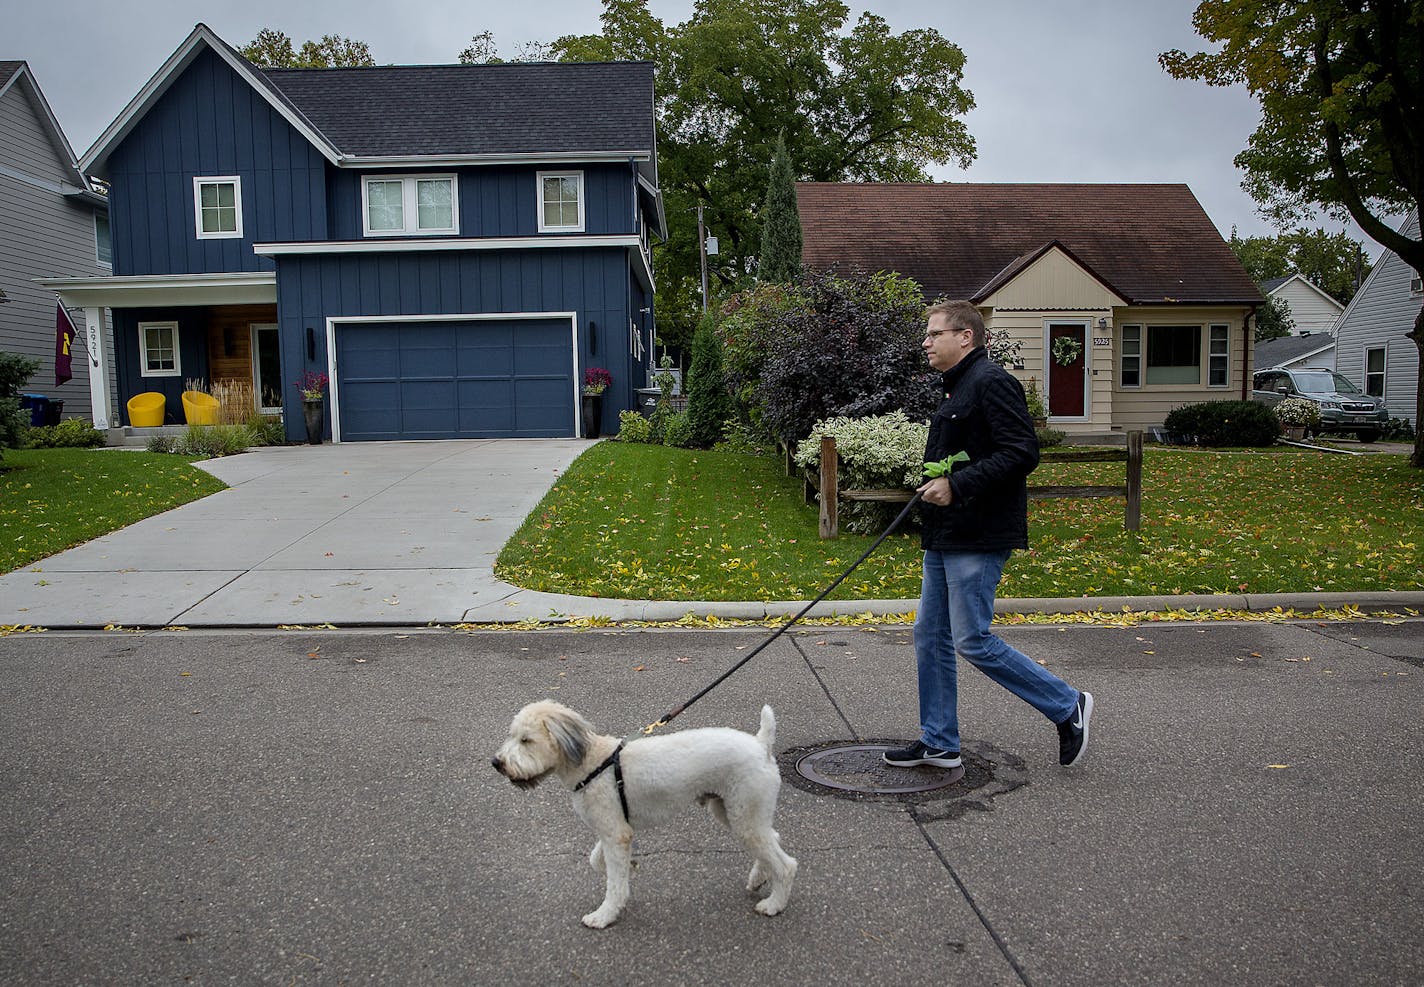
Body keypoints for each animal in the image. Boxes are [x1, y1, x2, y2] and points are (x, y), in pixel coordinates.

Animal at [495, 700, 797, 922]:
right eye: (512, 736)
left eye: (526, 740)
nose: (496, 763)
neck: (593, 763)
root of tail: (761, 744)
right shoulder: (614, 830)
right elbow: (597, 860)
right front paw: (630, 866)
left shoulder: (616, 834)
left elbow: (614, 883)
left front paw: (604, 915)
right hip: (734, 812)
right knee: (773, 839)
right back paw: (759, 877)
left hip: (745, 817)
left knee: (786, 865)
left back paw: (773, 904)